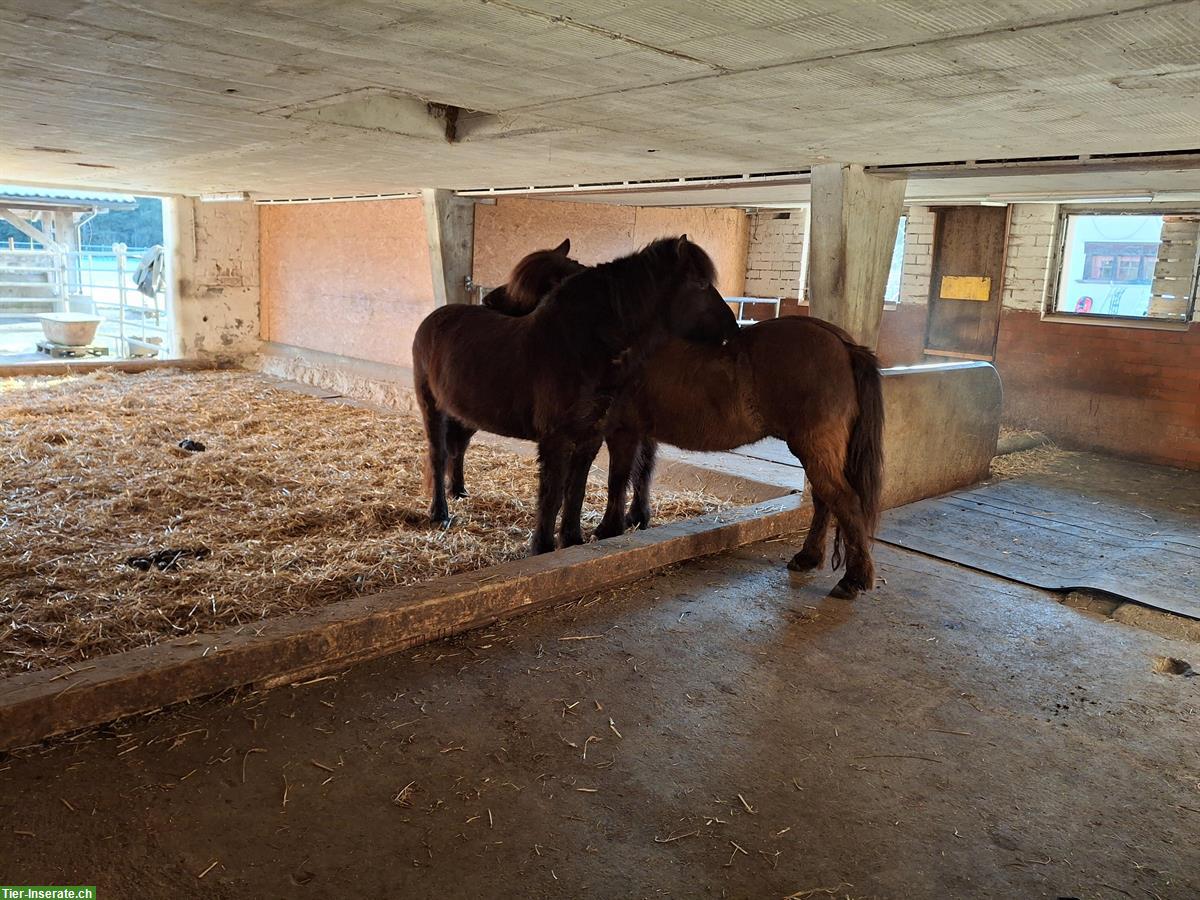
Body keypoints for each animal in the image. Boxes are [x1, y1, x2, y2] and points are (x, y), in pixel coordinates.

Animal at [412, 234, 734, 556]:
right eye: (701, 283)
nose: (731, 327)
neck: (582, 349)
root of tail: (432, 319)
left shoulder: (591, 437)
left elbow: (577, 490)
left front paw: (573, 539)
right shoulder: (557, 439)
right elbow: (554, 494)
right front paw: (543, 547)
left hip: (467, 414)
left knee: (458, 447)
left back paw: (459, 492)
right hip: (432, 407)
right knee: (439, 453)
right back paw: (440, 513)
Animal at [475, 243, 883, 602]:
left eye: (533, 287)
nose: (489, 302)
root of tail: (843, 344)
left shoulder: (619, 431)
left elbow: (617, 480)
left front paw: (608, 529)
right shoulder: (643, 433)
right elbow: (641, 475)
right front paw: (637, 519)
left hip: (814, 447)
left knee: (844, 501)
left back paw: (853, 579)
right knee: (824, 502)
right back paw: (808, 557)